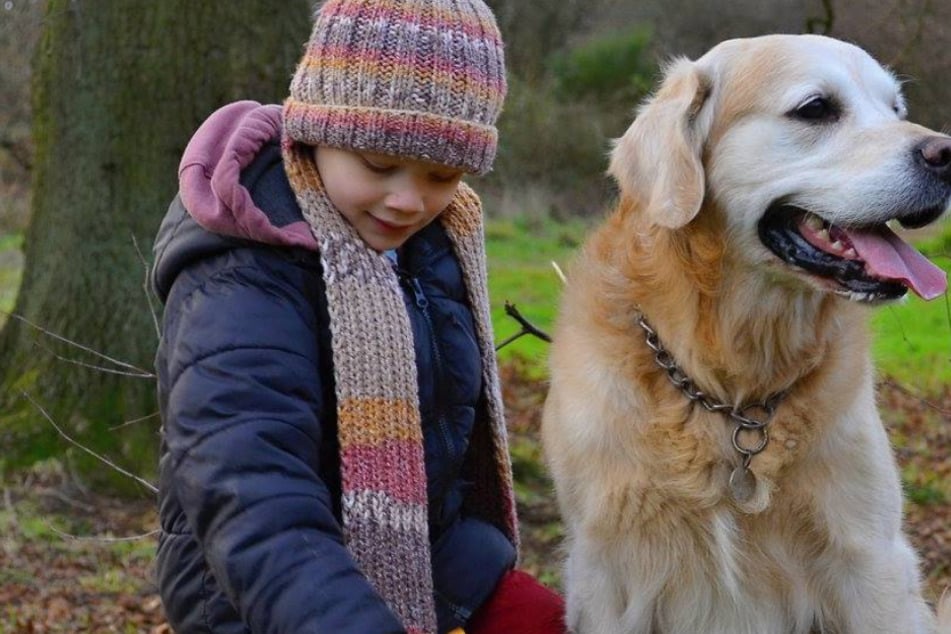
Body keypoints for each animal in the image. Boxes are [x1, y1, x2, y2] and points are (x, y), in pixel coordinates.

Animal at [544, 34, 951, 632]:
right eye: (816, 108)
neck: (731, 390)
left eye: (897, 109)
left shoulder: (872, 561)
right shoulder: (606, 576)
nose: (947, 154)